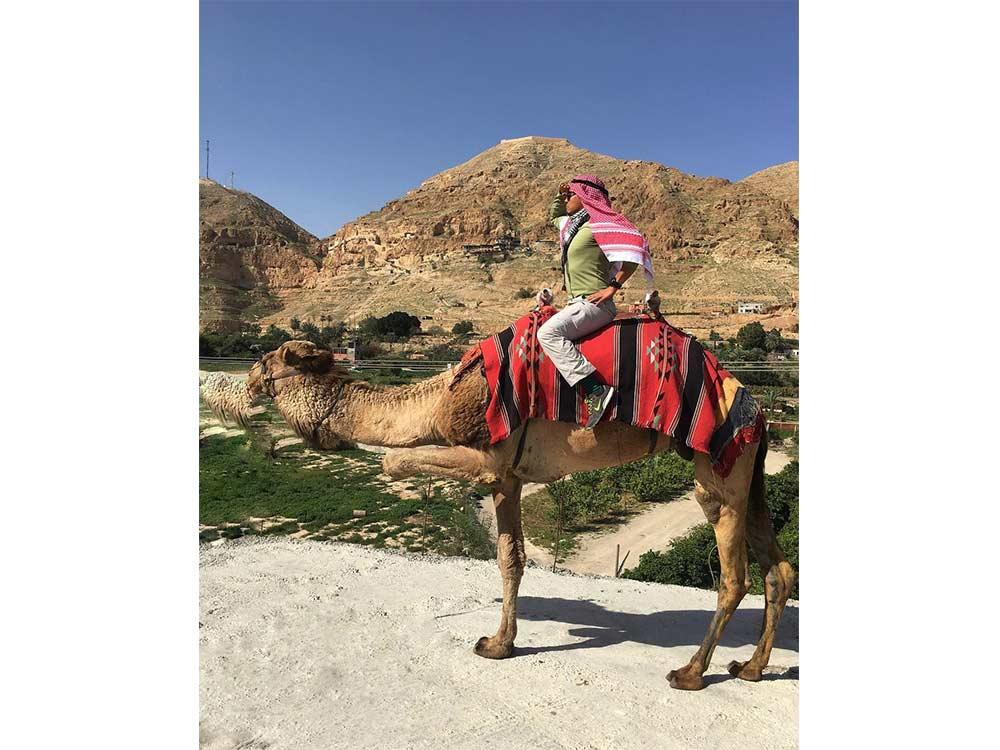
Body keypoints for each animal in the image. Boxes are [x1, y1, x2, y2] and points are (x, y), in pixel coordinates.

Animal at [207, 338, 796, 691]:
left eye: (270, 360)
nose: (246, 382)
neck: (437, 398)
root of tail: (759, 409)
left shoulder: (487, 457)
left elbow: (394, 462)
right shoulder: (508, 478)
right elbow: (511, 558)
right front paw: (498, 645)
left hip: (717, 470)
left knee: (734, 574)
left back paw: (692, 672)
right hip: (751, 472)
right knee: (778, 568)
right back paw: (751, 667)